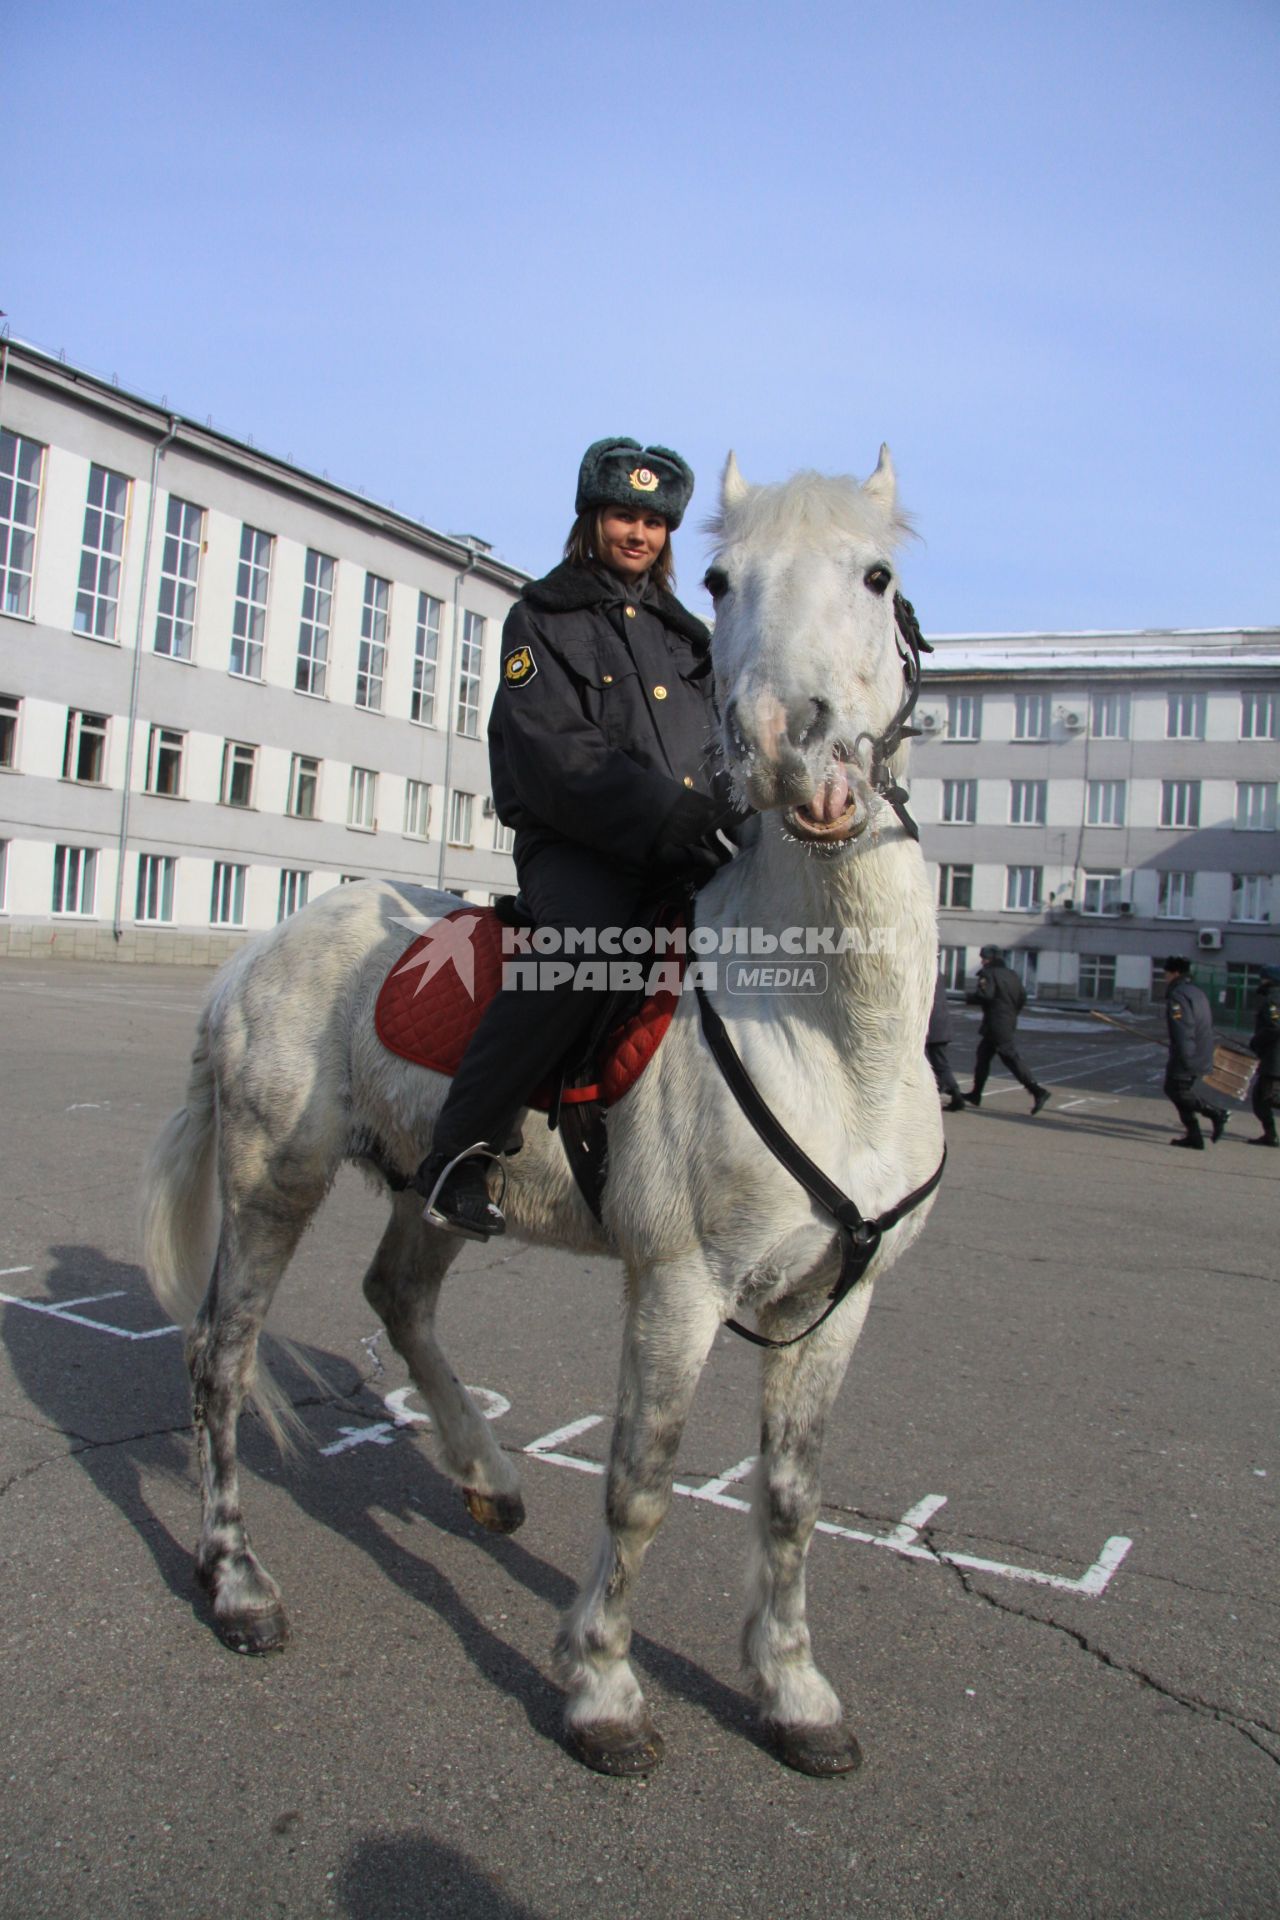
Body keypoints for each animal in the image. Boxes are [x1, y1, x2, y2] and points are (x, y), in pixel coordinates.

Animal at [142, 441, 940, 1774]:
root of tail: (259, 949)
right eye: (718, 582)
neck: (829, 1035)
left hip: (433, 1183)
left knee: (395, 1295)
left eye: (875, 577)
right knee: (219, 1360)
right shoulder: (676, 1289)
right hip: (270, 1186)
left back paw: (484, 1474)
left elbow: (789, 1496)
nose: (792, 750)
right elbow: (641, 1483)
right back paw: (237, 1582)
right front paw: (602, 1690)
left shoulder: (837, 1299)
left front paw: (792, 1692)